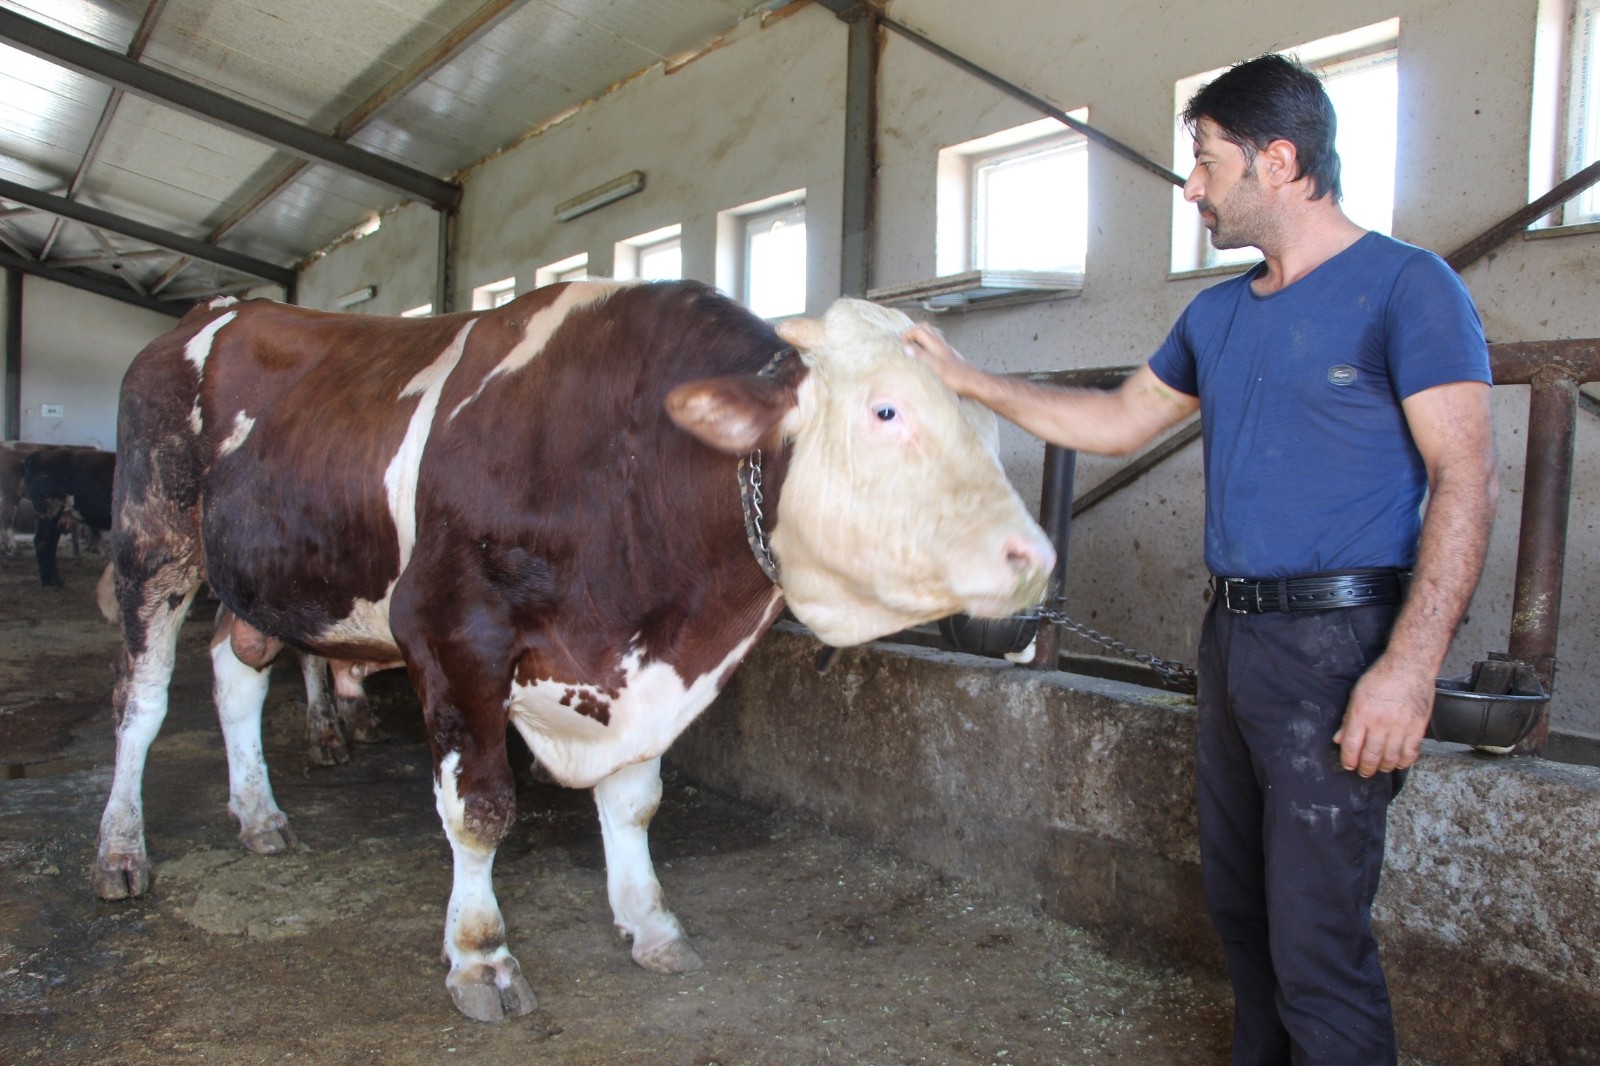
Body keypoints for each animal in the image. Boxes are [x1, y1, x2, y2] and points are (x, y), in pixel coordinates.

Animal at [93, 281, 1056, 1024]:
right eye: (885, 410)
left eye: (991, 427)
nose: (1036, 560)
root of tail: (217, 308)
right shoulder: (448, 632)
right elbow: (480, 810)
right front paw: (480, 957)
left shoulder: (645, 668)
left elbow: (634, 802)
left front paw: (650, 922)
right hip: (153, 544)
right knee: (140, 703)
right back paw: (121, 850)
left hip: (260, 578)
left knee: (234, 673)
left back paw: (258, 815)